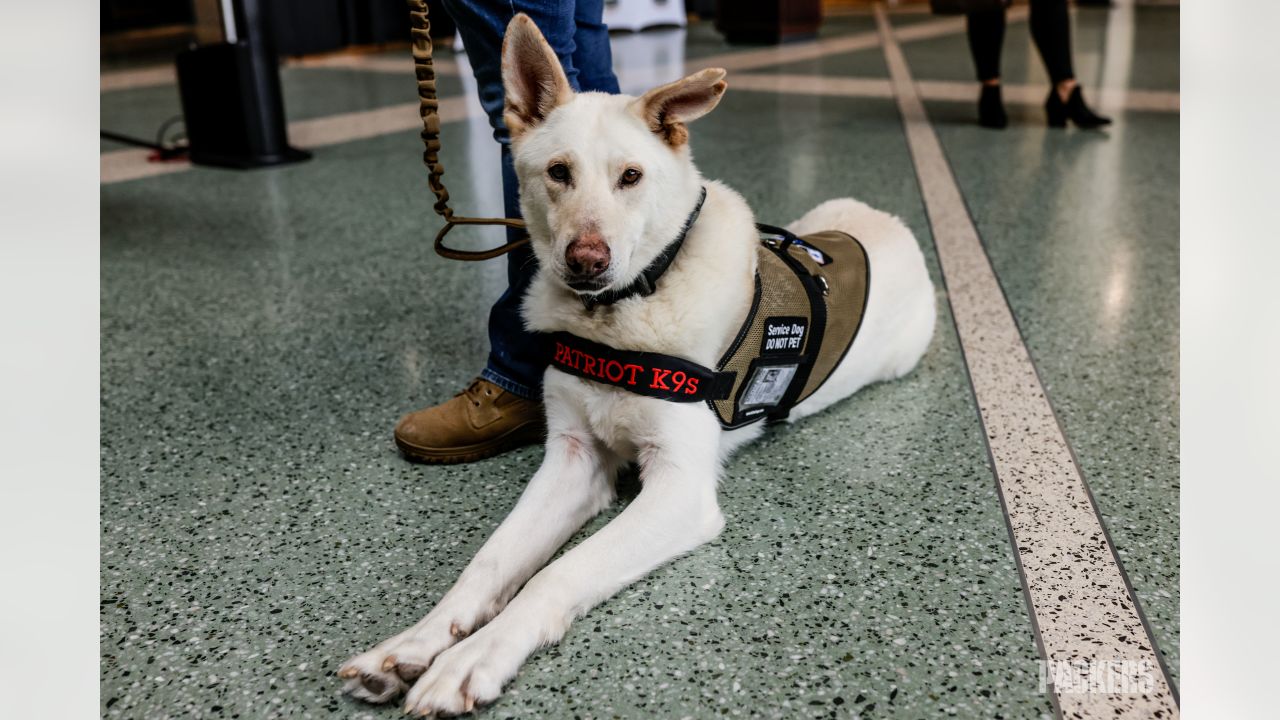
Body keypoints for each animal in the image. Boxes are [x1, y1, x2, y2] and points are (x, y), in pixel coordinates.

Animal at [337, 15, 942, 712]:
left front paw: (471, 659)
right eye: (558, 172)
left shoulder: (678, 490)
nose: (586, 260)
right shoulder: (573, 459)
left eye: (631, 177)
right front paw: (413, 644)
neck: (621, 316)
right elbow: (488, 562)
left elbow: (554, 574)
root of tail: (888, 220)